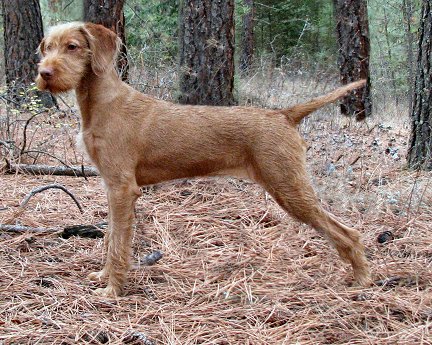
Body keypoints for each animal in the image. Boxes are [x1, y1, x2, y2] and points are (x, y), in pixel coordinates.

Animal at [36, 22, 372, 296]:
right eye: (47, 47)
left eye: (72, 46)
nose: (44, 73)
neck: (102, 104)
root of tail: (284, 115)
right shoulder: (111, 186)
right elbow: (109, 237)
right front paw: (103, 276)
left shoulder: (123, 188)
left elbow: (119, 242)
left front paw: (113, 290)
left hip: (289, 187)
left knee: (349, 232)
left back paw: (363, 280)